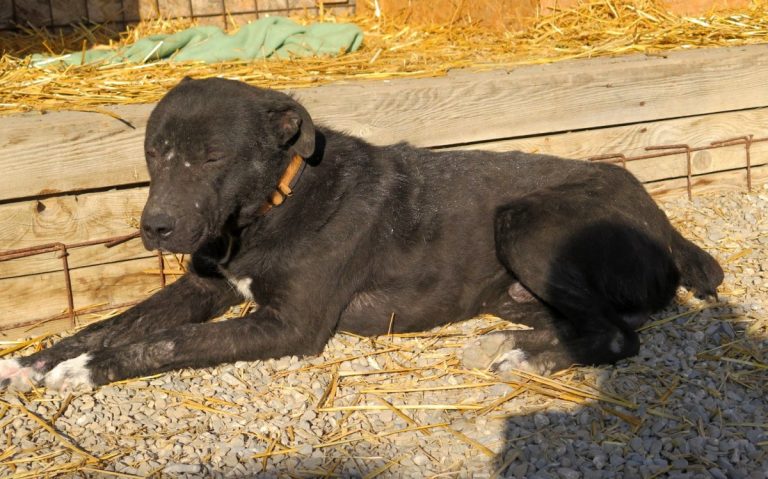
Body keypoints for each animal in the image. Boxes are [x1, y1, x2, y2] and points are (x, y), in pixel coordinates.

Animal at [0, 79, 724, 394]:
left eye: (211, 156)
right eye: (154, 152)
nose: (155, 228)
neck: (275, 203)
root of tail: (663, 219)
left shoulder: (288, 325)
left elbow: (168, 340)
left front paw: (84, 370)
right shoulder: (204, 286)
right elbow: (118, 321)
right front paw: (35, 359)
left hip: (526, 222)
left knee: (618, 334)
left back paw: (523, 358)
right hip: (508, 286)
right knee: (587, 321)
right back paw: (509, 343)